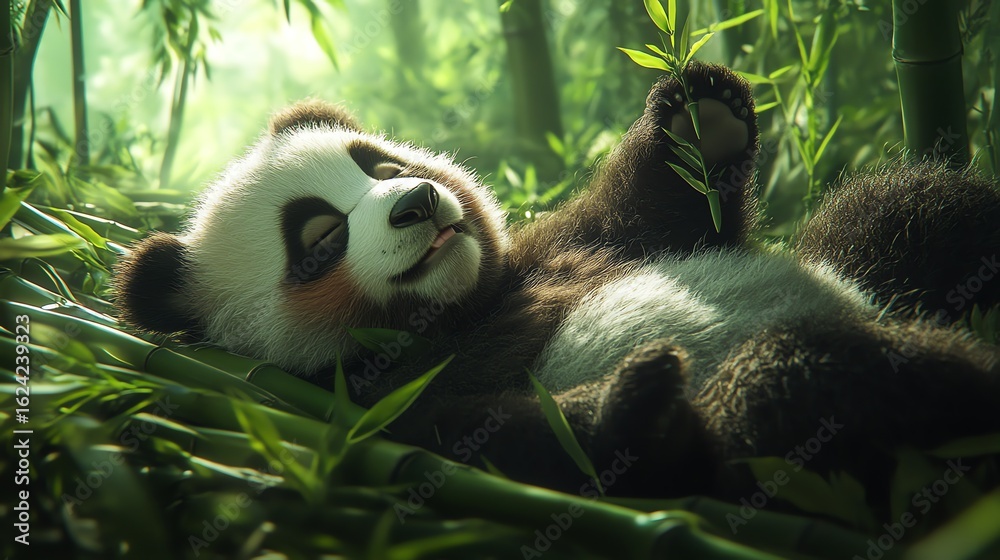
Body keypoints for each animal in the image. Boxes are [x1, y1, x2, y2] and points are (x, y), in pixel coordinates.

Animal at [115, 62, 1000, 500]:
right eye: (321, 240)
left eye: (381, 166)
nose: (415, 202)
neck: (466, 308)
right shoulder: (365, 412)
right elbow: (519, 442)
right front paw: (632, 402)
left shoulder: (564, 249)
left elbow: (655, 212)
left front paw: (703, 114)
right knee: (809, 381)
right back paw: (957, 378)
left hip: (871, 254)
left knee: (916, 212)